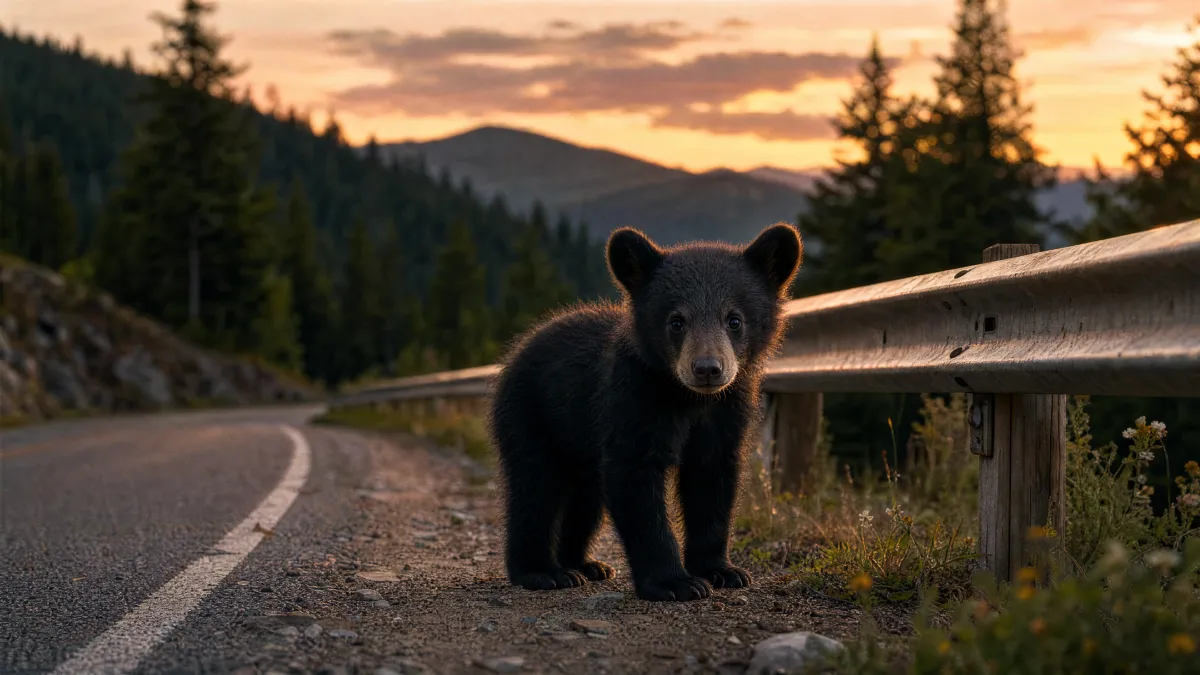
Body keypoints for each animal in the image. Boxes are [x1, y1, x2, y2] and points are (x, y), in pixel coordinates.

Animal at [486, 222, 803, 602]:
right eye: (676, 321)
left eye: (734, 320)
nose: (707, 369)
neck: (689, 399)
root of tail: (519, 347)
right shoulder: (634, 397)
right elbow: (636, 479)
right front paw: (675, 582)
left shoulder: (727, 410)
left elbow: (712, 481)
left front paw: (722, 570)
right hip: (533, 414)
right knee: (535, 488)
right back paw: (542, 571)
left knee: (586, 499)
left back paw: (584, 565)